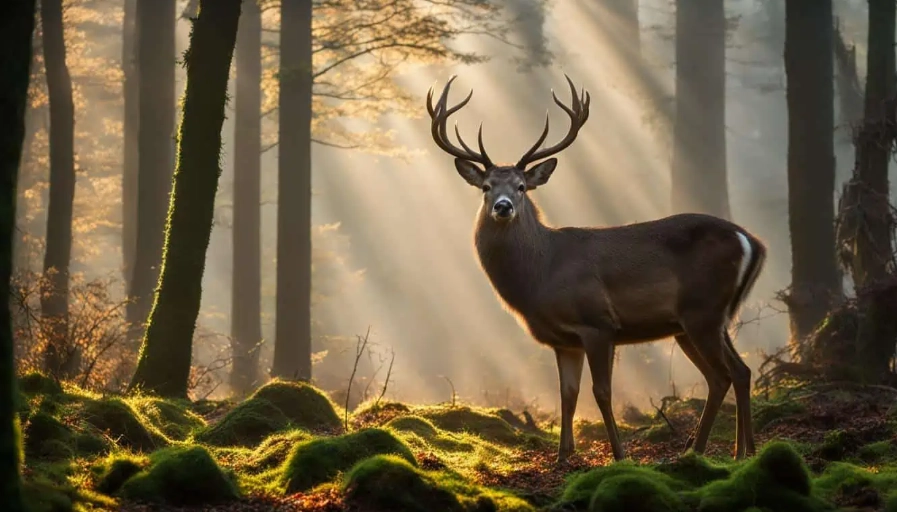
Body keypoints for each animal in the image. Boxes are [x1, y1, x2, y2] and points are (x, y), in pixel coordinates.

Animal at [425, 75, 766, 463]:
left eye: (522, 187)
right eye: (486, 187)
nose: (503, 206)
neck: (541, 274)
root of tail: (752, 241)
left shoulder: (598, 323)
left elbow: (601, 391)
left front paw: (619, 455)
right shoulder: (564, 341)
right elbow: (567, 394)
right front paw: (563, 456)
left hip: (702, 310)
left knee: (723, 375)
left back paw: (697, 450)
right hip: (703, 320)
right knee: (738, 371)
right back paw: (743, 452)